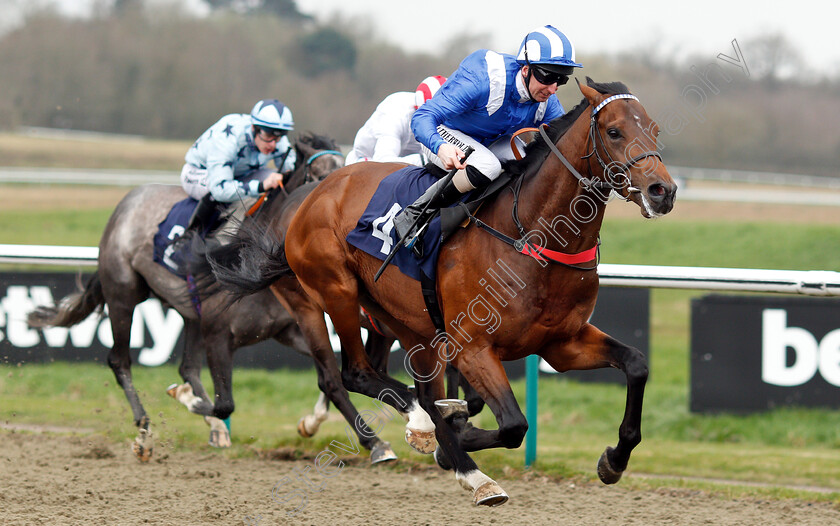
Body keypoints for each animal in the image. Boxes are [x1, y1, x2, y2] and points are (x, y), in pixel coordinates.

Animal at [25, 133, 398, 466]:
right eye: (318, 175)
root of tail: (126, 202)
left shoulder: (288, 328)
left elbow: (330, 377)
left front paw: (358, 436)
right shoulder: (220, 334)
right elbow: (227, 402)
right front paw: (192, 404)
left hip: (191, 315)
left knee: (187, 366)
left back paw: (210, 424)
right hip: (123, 295)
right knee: (121, 361)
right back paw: (145, 431)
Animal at [210, 79, 676, 508]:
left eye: (654, 129)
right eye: (613, 131)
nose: (663, 191)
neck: (531, 234)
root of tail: (312, 195)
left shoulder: (562, 343)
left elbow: (636, 365)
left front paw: (614, 460)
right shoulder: (472, 346)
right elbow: (512, 425)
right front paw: (448, 440)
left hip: (404, 321)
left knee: (404, 383)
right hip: (331, 293)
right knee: (352, 374)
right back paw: (418, 433)